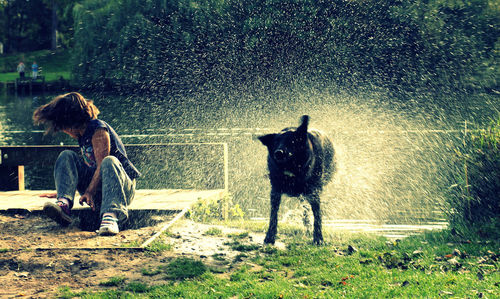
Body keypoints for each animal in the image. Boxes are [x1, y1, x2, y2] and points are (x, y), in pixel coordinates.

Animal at [258, 116, 336, 245]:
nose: (278, 153)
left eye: (292, 141)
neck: (292, 170)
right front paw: (270, 237)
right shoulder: (275, 191)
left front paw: (318, 238)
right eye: (275, 142)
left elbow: (317, 216)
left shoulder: (313, 192)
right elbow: (273, 215)